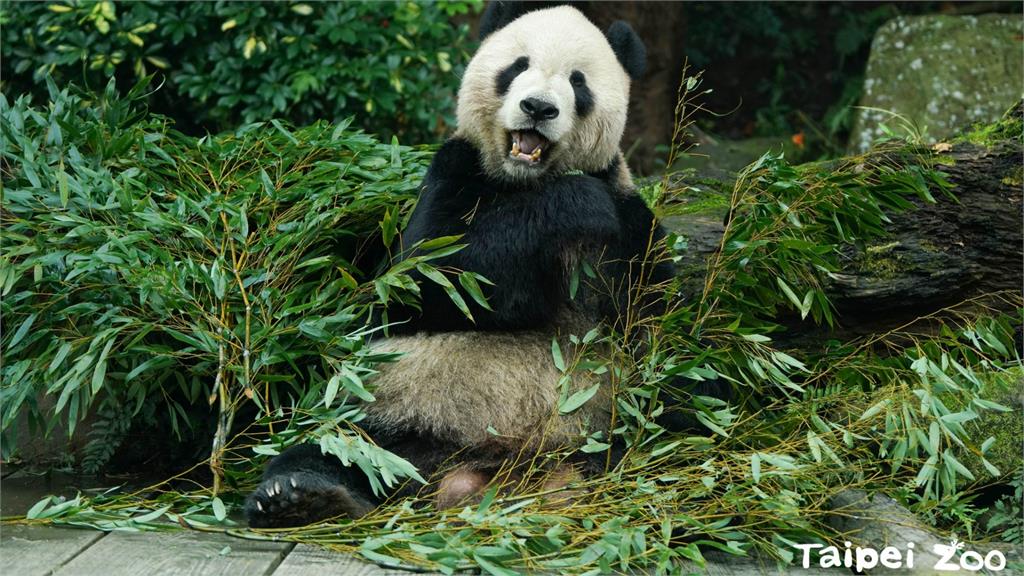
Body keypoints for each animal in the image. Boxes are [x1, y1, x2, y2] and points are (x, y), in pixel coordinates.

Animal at [243, 2, 684, 528]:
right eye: (518, 66)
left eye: (578, 83)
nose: (539, 107)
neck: (525, 181)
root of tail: (484, 476)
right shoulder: (453, 173)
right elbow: (426, 282)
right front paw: (575, 202)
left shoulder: (630, 221)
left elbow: (658, 325)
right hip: (389, 407)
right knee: (338, 446)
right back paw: (300, 494)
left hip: (600, 433)